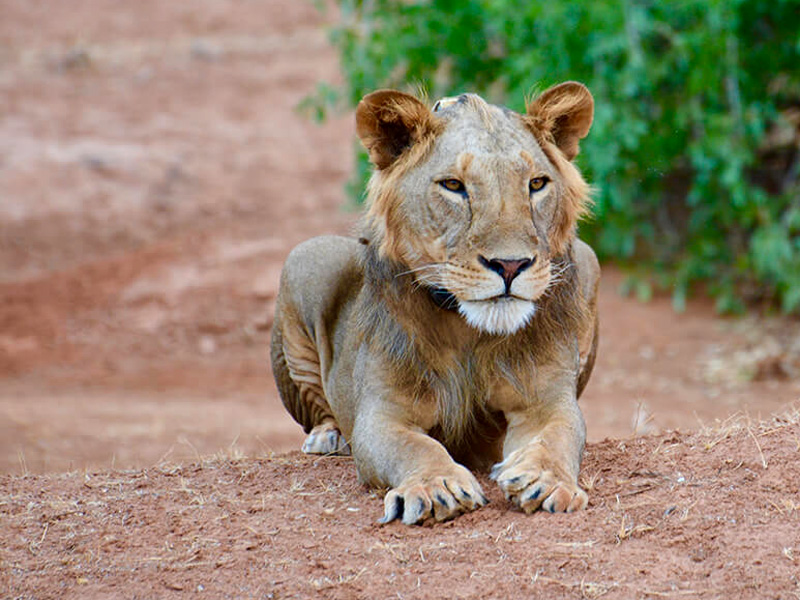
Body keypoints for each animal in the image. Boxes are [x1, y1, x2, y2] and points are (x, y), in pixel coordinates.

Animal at [271, 81, 599, 525]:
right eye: (454, 186)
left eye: (536, 184)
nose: (511, 265)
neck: (467, 332)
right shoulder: (382, 415)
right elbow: (417, 447)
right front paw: (436, 486)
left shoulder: (546, 403)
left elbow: (557, 437)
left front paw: (544, 480)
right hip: (304, 258)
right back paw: (328, 436)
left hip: (589, 259)